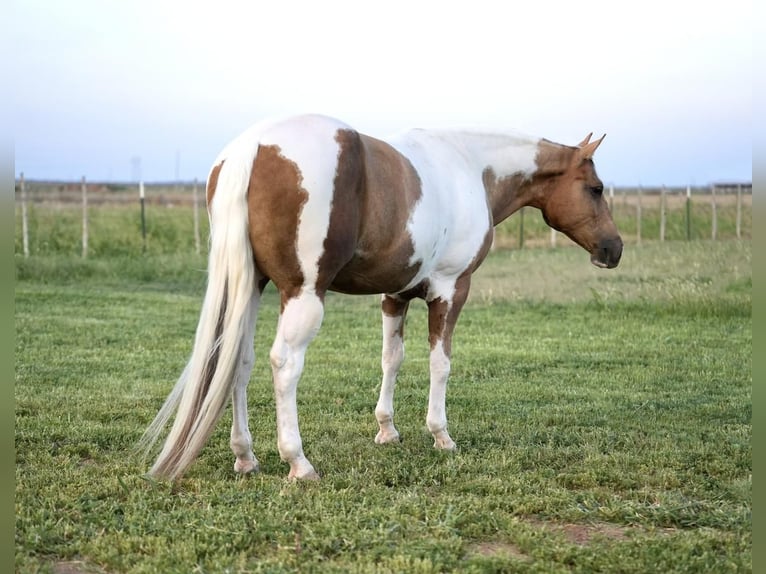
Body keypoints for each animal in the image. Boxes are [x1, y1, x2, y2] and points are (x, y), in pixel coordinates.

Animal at [142, 112, 624, 482]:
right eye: (596, 188)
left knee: (239, 362)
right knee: (284, 365)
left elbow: (391, 359)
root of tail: (253, 147)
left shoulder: (395, 294)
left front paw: (387, 430)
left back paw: (245, 456)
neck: (470, 168)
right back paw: (298, 462)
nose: (613, 249)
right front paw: (440, 435)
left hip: (252, 288)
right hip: (302, 295)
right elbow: (440, 363)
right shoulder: (451, 289)